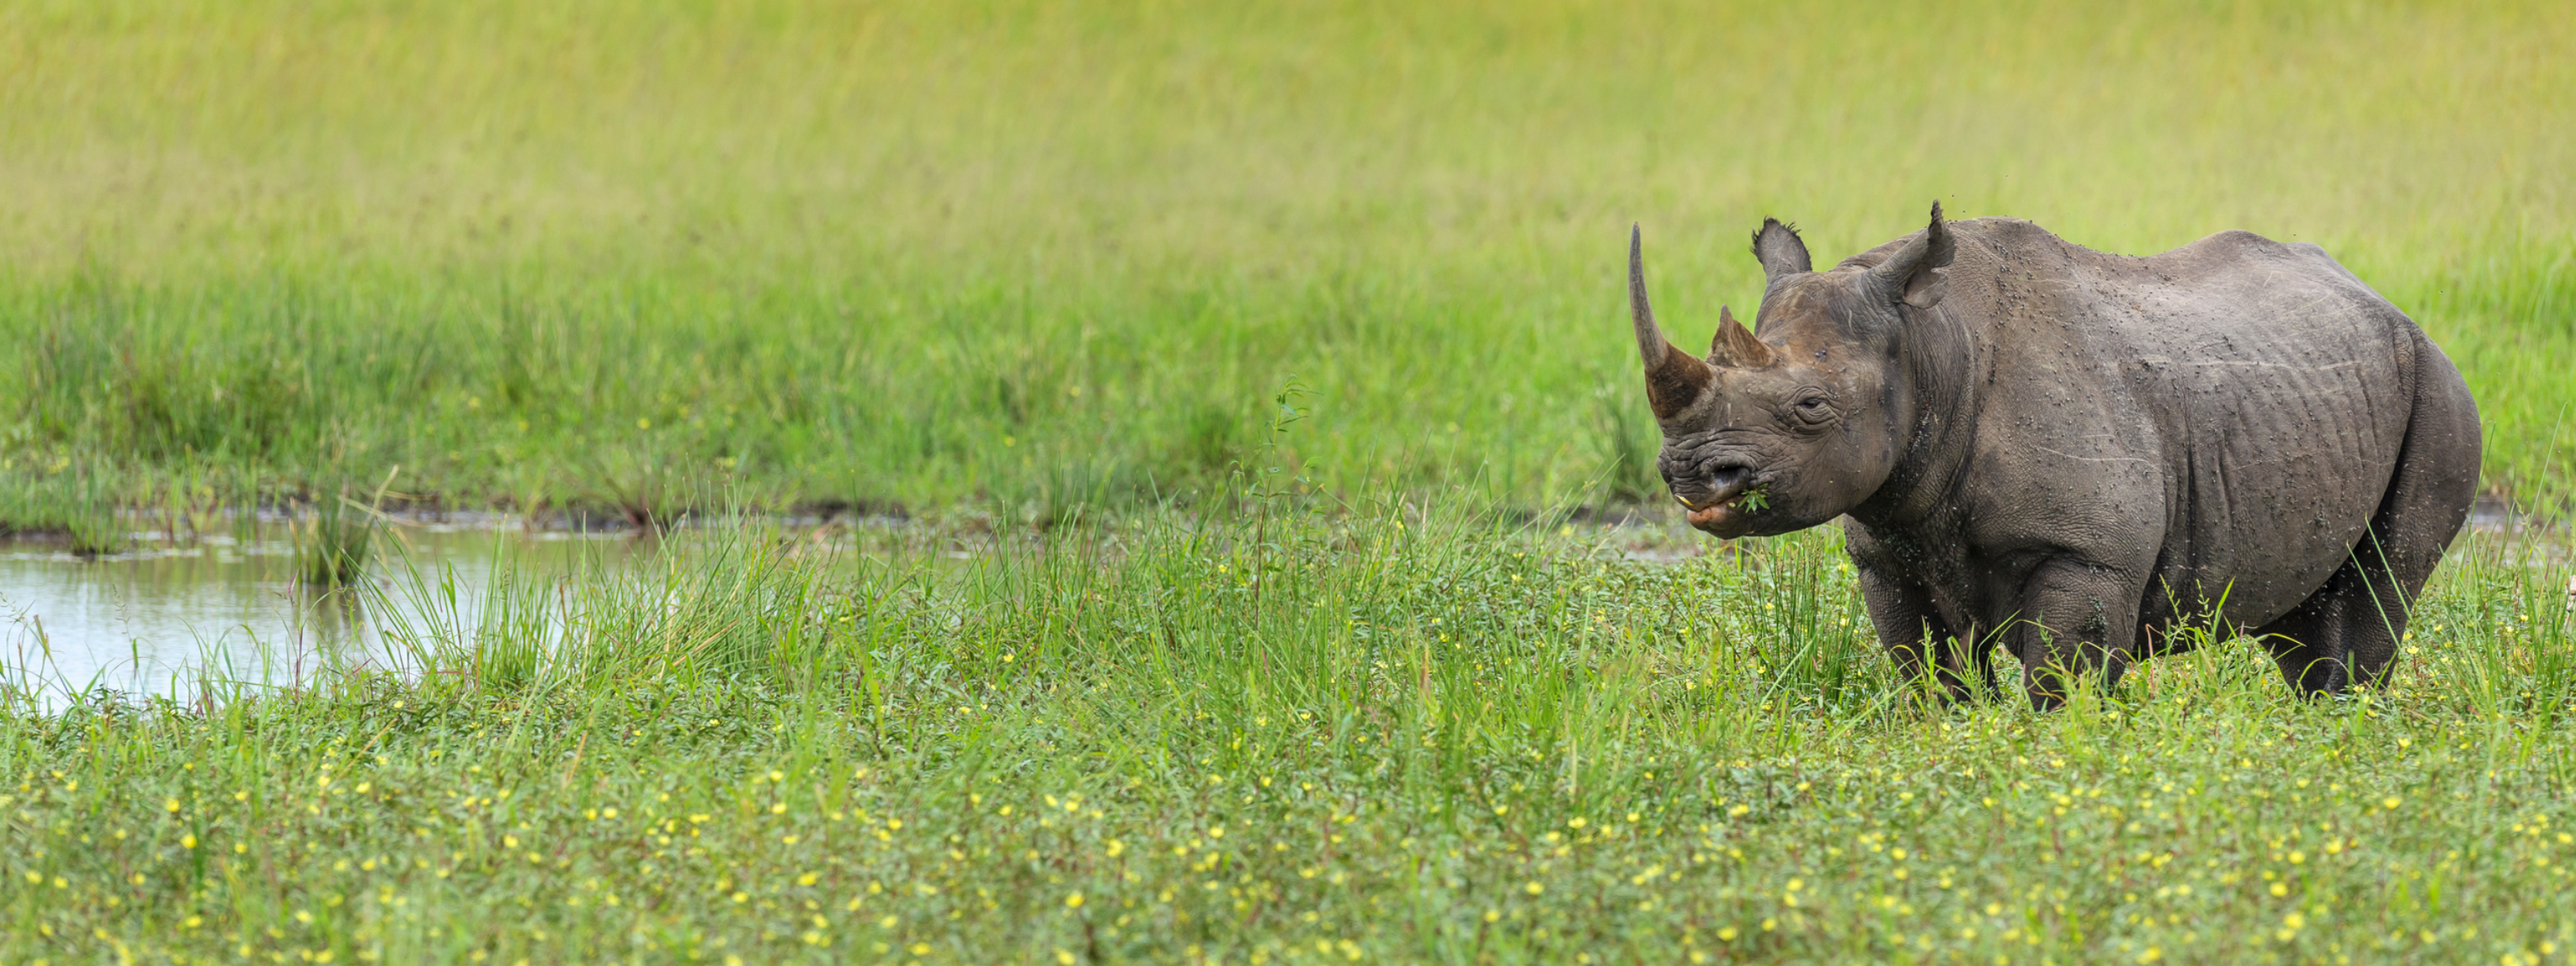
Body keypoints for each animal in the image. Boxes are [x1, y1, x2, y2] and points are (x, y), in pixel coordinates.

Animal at [1628, 204, 2480, 706]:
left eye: (1811, 408)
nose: (1692, 473)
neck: (1931, 347)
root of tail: (2389, 305)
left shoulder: (2088, 555)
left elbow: (2058, 685)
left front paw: (2056, 761)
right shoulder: (1891, 549)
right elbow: (1930, 681)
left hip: (2440, 387)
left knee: (2384, 584)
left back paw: (2344, 726)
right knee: (2302, 615)